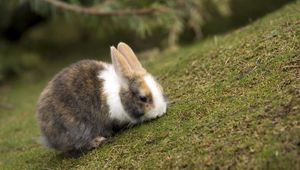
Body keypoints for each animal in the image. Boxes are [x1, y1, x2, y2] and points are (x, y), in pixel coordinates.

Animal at [36, 42, 168, 153]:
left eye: (160, 88)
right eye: (143, 98)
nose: (160, 112)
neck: (120, 95)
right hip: (76, 128)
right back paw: (98, 141)